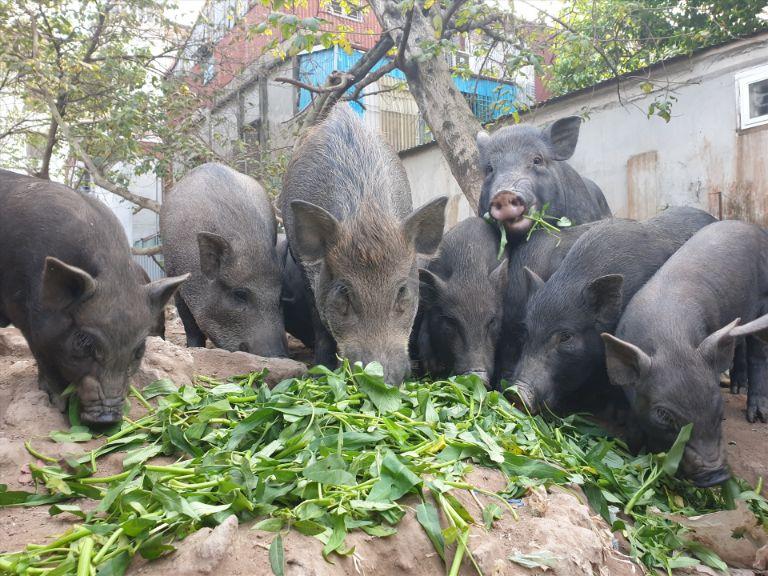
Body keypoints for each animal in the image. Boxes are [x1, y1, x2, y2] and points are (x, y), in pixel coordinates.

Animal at [0, 169, 186, 426]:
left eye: (139, 350)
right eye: (84, 343)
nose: (107, 419)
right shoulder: (29, 322)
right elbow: (46, 361)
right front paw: (57, 406)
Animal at [608, 220, 768, 486]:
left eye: (720, 411)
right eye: (663, 415)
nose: (716, 475)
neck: (671, 341)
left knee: (758, 351)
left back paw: (757, 416)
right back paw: (737, 388)